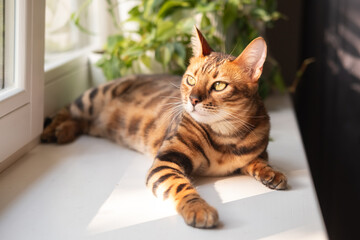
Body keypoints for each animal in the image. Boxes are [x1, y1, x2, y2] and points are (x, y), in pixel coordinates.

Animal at [41, 28, 286, 229]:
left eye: (219, 85)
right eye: (190, 80)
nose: (193, 100)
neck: (225, 136)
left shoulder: (255, 151)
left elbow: (258, 160)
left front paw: (271, 172)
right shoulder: (167, 160)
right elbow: (181, 187)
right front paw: (198, 208)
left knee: (81, 122)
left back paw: (64, 132)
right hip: (90, 98)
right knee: (66, 110)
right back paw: (53, 131)